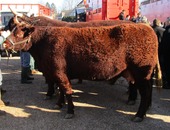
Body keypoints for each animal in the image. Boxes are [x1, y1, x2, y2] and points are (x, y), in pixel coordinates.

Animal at [4, 15, 159, 122]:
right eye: (12, 29)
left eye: (18, 34)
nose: (4, 44)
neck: (44, 41)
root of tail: (147, 28)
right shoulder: (58, 73)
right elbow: (61, 90)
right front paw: (59, 103)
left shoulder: (58, 72)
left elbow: (66, 90)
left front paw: (69, 111)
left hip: (141, 73)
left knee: (145, 93)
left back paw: (139, 115)